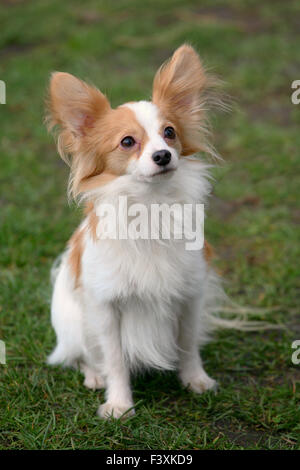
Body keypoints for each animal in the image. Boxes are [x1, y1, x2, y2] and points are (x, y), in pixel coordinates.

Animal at [46, 44, 227, 418]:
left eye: (170, 133)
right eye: (127, 142)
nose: (163, 155)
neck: (151, 206)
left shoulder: (190, 295)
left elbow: (188, 344)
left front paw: (195, 381)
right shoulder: (106, 307)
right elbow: (114, 359)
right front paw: (119, 404)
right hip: (72, 325)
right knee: (80, 355)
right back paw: (93, 376)